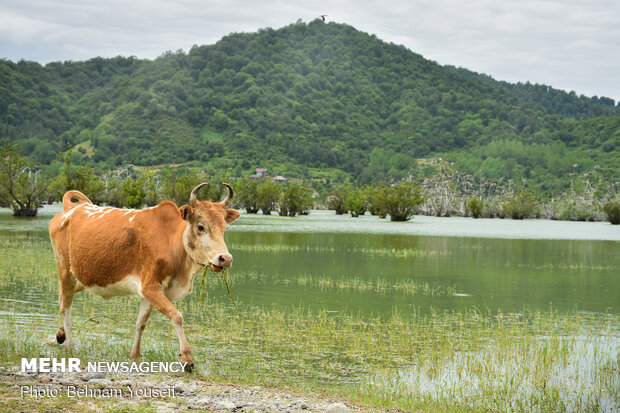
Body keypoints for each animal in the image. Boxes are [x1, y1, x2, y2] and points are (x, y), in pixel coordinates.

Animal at [48, 182, 240, 368]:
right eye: (201, 227)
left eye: (224, 227)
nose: (225, 258)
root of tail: (71, 209)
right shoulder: (150, 286)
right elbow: (176, 316)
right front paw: (187, 358)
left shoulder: (147, 292)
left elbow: (141, 323)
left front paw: (135, 355)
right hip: (65, 270)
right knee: (65, 307)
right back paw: (70, 345)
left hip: (81, 277)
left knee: (61, 299)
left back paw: (61, 334)